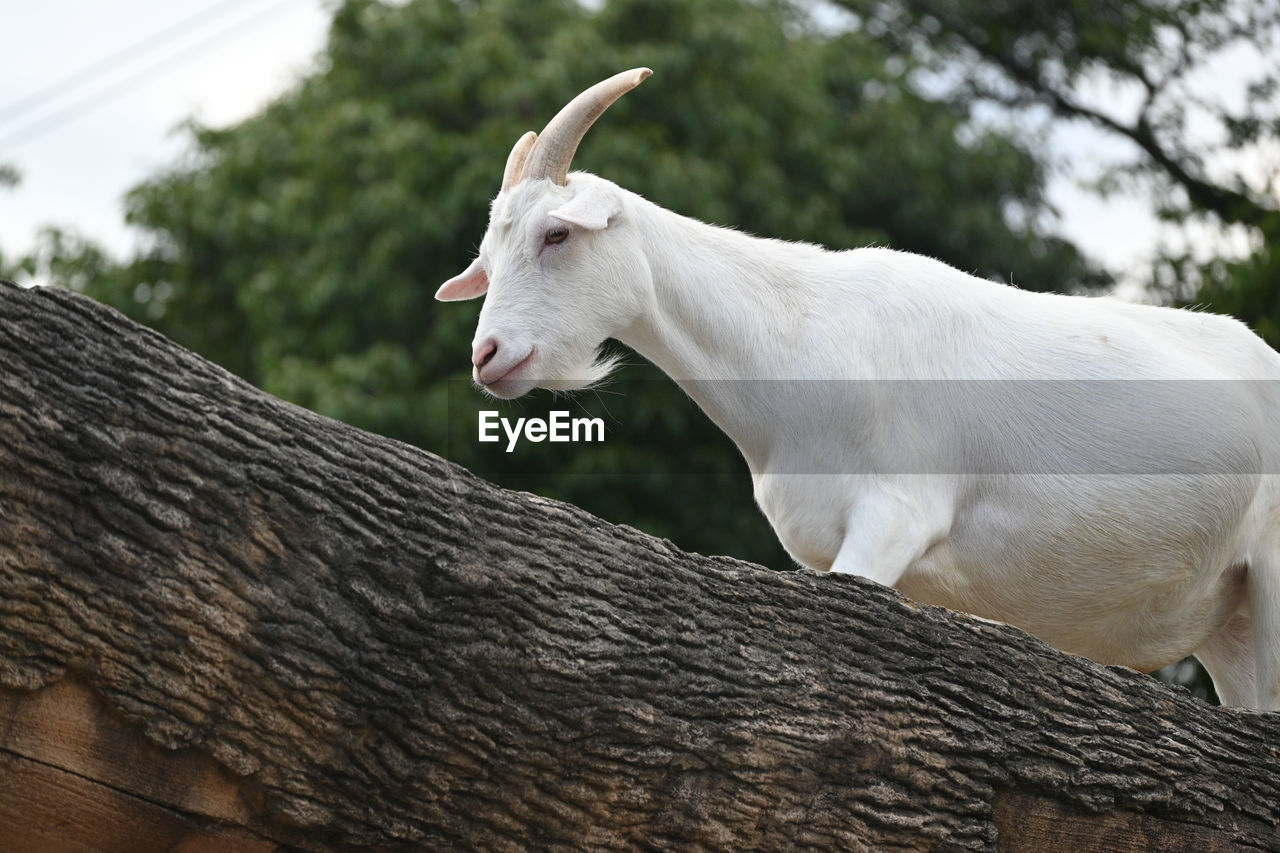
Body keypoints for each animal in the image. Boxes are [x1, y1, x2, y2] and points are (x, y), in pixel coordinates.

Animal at [437, 66, 1280, 706]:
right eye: (490, 255)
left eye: (556, 234)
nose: (489, 354)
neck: (799, 342)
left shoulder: (894, 515)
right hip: (1227, 623)